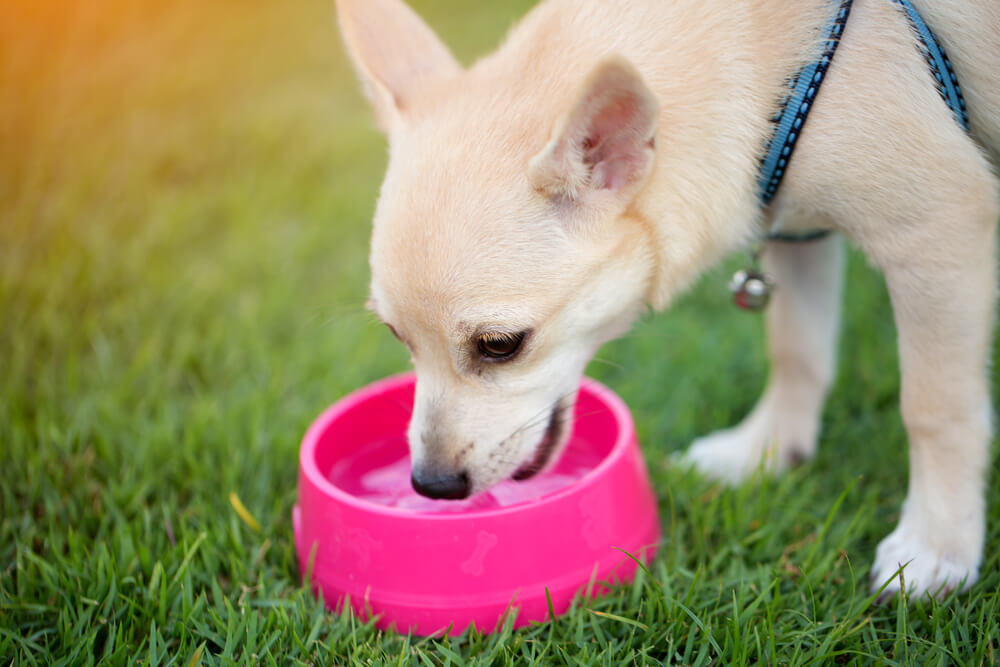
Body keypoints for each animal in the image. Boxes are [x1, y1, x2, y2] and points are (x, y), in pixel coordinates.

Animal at [336, 0, 1000, 600]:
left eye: (501, 346)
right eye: (398, 339)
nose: (431, 486)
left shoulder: (935, 234)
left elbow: (934, 408)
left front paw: (937, 546)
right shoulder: (800, 234)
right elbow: (796, 351)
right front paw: (765, 452)